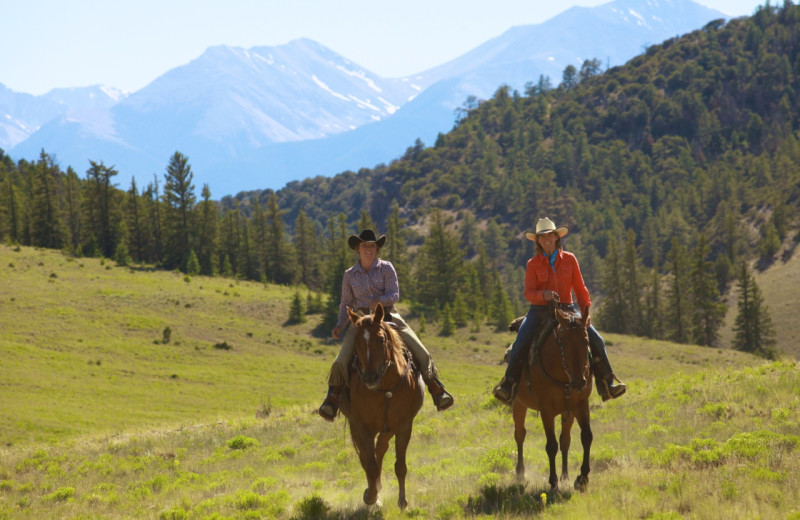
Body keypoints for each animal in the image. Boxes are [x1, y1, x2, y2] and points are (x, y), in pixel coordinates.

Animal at [338, 302, 424, 510]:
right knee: (368, 457)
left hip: (388, 428)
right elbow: (370, 465)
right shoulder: (362, 427)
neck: (385, 388)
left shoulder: (404, 425)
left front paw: (402, 501)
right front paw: (371, 496)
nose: (370, 377)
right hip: (357, 426)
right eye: (356, 342)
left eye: (380, 339)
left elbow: (400, 466)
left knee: (380, 448)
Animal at [512, 304, 592, 492]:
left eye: (586, 341)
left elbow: (586, 437)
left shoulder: (580, 405)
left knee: (565, 440)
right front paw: (553, 481)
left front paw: (582, 478)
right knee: (520, 434)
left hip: (568, 413)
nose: (579, 382)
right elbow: (551, 445)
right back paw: (520, 473)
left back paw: (565, 475)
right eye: (562, 342)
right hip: (518, 404)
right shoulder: (546, 411)